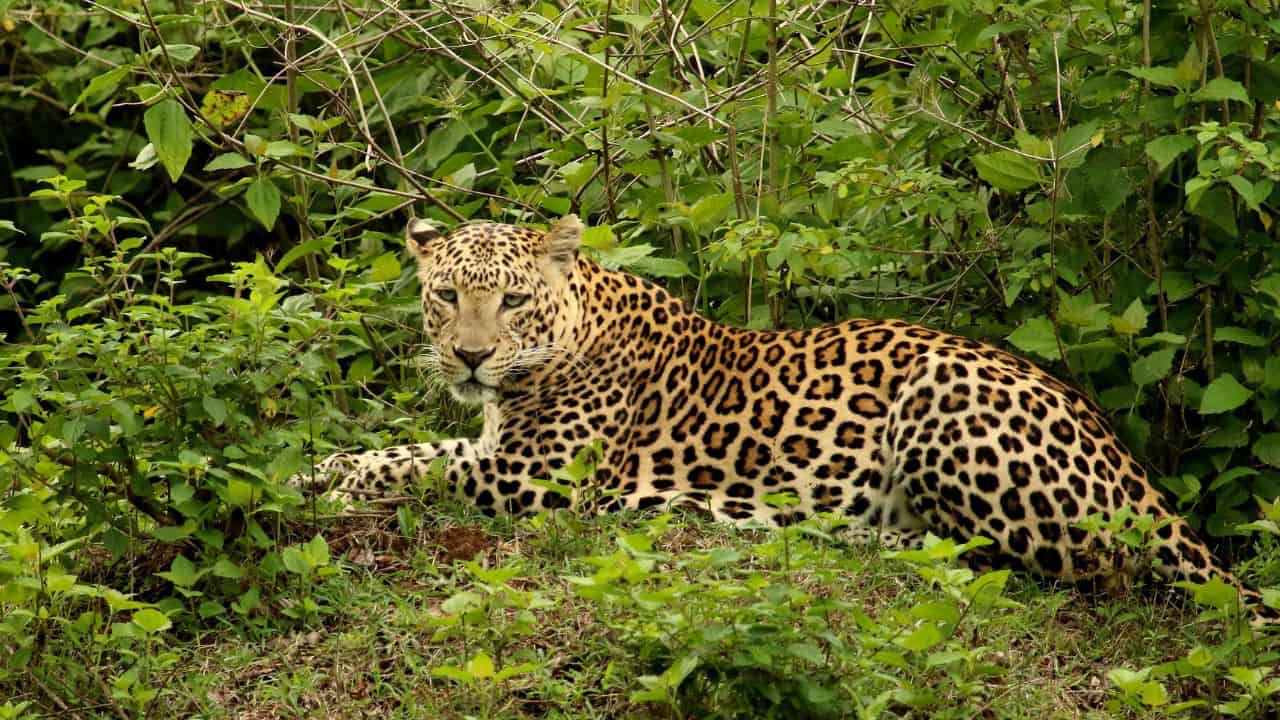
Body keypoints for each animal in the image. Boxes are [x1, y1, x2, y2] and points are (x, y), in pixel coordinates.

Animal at [295, 214, 1274, 623]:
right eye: (446, 295)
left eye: (512, 301)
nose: (467, 357)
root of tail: (1135, 475)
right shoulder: (492, 443)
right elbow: (407, 445)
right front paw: (313, 472)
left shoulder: (532, 477)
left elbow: (411, 464)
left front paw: (325, 485)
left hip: (946, 405)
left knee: (1063, 569)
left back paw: (835, 534)